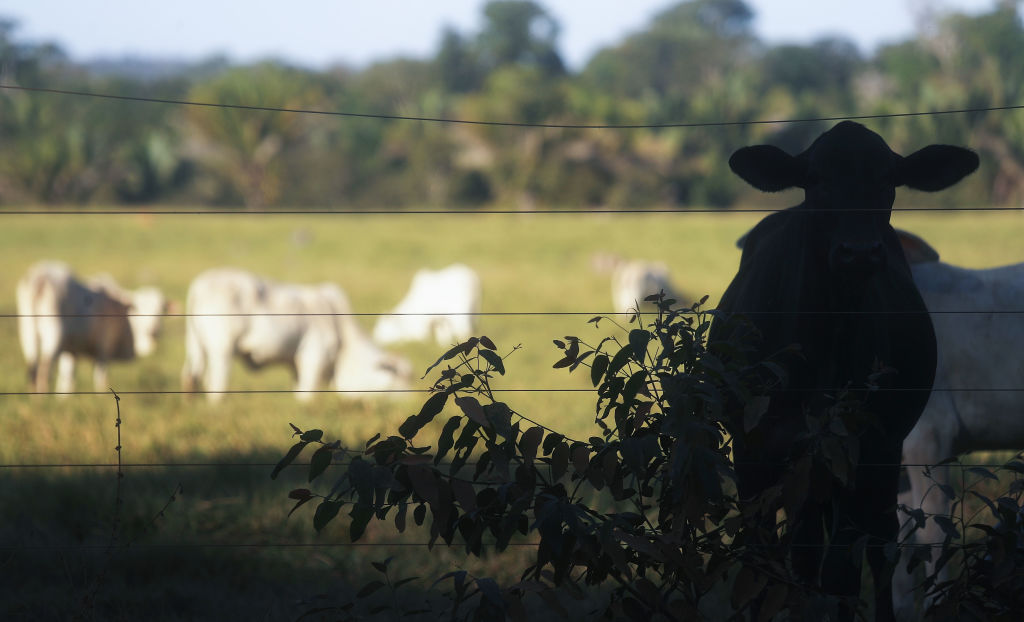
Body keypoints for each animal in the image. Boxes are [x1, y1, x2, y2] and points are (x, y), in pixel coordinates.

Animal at [17, 262, 167, 393]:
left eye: (161, 310)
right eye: (138, 309)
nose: (153, 331)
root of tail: (39, 278)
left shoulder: (71, 350)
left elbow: (68, 378)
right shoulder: (104, 346)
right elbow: (101, 376)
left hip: (28, 330)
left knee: (32, 367)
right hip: (53, 332)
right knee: (45, 368)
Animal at [182, 268, 409, 403]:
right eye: (400, 376)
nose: (410, 400)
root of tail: (201, 284)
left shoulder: (296, 364)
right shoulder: (314, 357)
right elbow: (306, 395)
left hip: (195, 345)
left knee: (191, 376)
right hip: (222, 349)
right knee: (216, 383)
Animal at [712, 122, 974, 622]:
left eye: (889, 180)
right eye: (815, 179)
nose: (860, 252)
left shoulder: (863, 449)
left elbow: (843, 573)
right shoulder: (753, 450)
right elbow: (761, 567)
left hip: (881, 460)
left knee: (880, 546)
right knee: (806, 552)